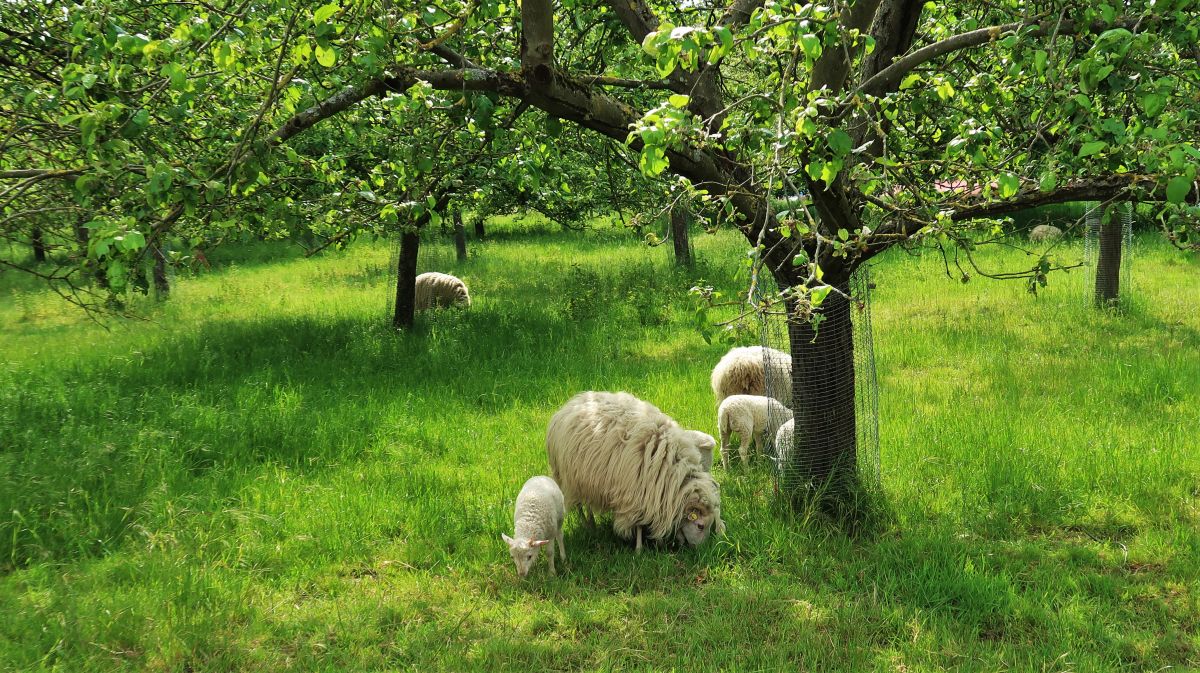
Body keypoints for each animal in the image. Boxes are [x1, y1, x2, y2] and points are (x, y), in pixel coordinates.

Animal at [544, 388, 720, 551]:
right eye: (700, 526)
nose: (698, 551)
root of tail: (571, 403)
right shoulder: (634, 496)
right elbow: (638, 524)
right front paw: (639, 549)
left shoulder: (651, 495)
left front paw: (657, 543)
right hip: (568, 478)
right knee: (580, 505)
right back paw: (589, 525)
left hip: (585, 477)